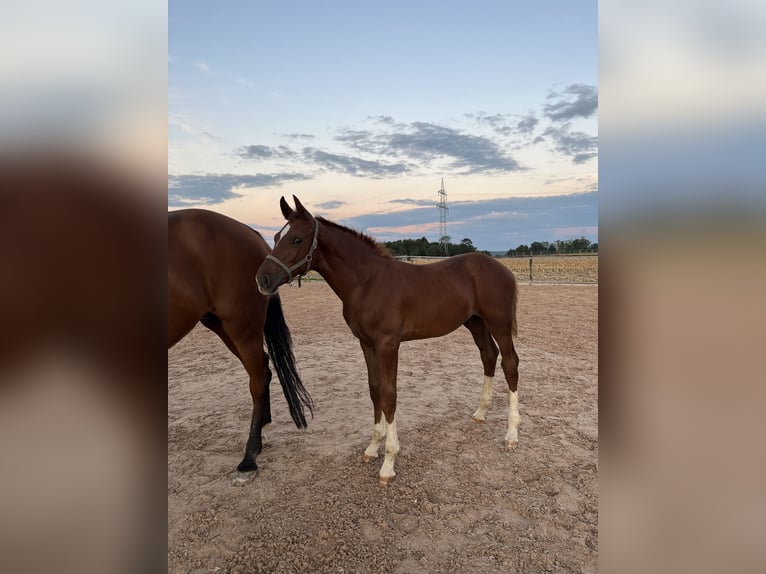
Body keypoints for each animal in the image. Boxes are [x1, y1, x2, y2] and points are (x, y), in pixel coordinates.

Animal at [168, 208, 312, 482]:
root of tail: (250, 231)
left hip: (241, 328)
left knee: (257, 379)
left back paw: (250, 456)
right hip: (221, 325)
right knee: (263, 368)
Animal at [254, 197, 520, 486]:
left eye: (297, 239)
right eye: (277, 236)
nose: (262, 279)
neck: (368, 282)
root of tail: (503, 269)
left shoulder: (388, 345)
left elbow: (389, 394)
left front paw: (388, 463)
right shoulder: (366, 343)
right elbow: (375, 390)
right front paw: (373, 447)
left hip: (499, 324)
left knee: (510, 364)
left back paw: (511, 435)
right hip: (475, 323)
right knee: (489, 356)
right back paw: (480, 413)